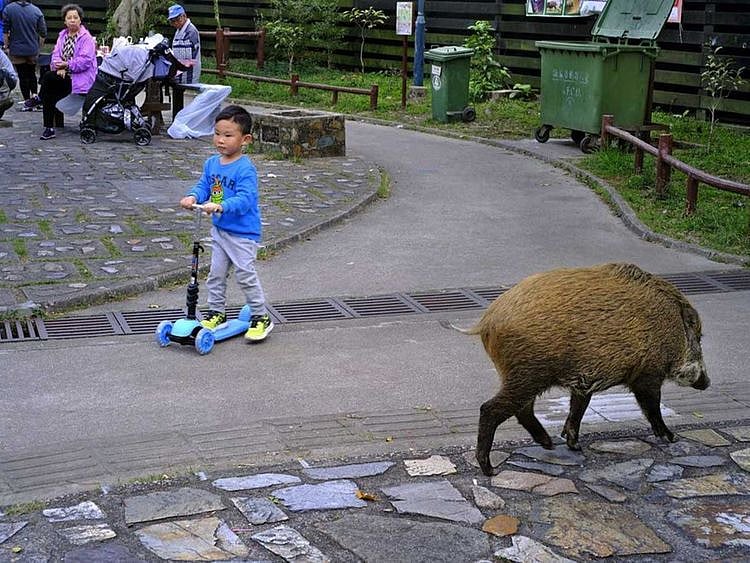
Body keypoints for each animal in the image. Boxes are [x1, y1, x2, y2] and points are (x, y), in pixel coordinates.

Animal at [469, 263, 709, 476]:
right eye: (698, 338)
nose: (707, 382)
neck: (671, 331)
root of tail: (487, 322)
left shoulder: (584, 382)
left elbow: (578, 409)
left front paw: (574, 445)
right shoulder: (647, 375)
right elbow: (652, 407)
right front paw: (672, 437)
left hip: (526, 376)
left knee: (523, 410)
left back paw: (549, 444)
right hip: (528, 374)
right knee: (490, 408)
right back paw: (490, 469)